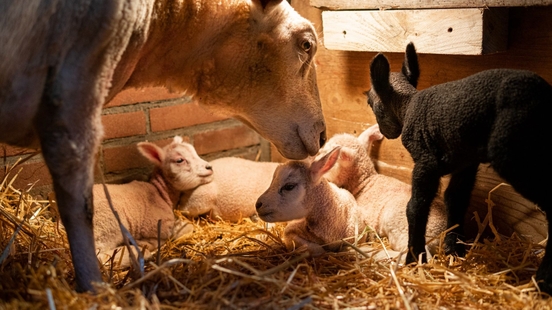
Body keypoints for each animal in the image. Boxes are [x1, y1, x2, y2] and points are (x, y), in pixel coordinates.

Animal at [92, 137, 213, 268]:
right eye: (179, 160)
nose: (209, 167)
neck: (160, 193)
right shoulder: (158, 227)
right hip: (106, 224)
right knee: (100, 256)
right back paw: (139, 253)